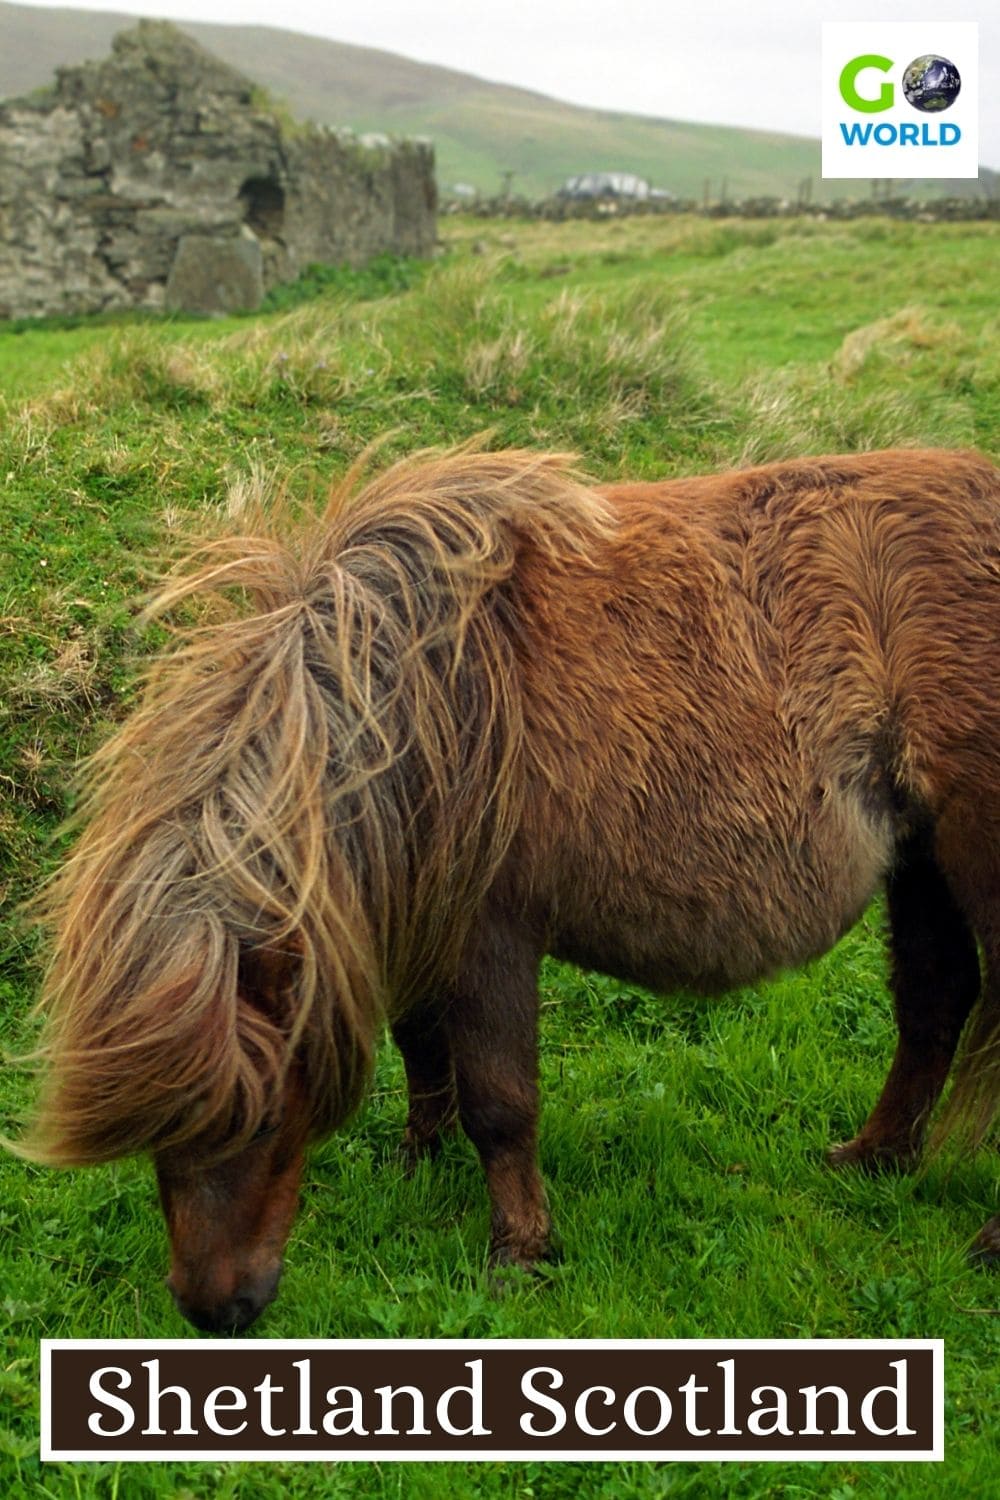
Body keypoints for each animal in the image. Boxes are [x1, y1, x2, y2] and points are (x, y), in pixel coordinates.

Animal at [13, 447, 1000, 1338]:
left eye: (257, 1119)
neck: (419, 692)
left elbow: (500, 1101)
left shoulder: (487, 935)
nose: (216, 1310)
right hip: (920, 861)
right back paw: (874, 1158)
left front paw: (520, 1252)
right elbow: (421, 1047)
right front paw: (419, 1157)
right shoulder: (418, 911)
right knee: (934, 1004)